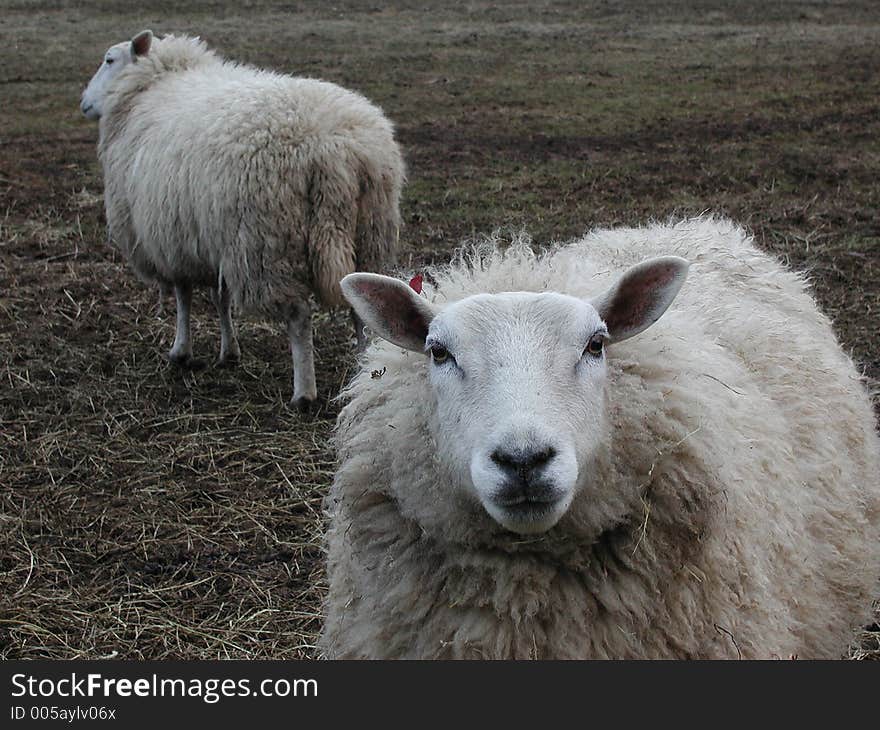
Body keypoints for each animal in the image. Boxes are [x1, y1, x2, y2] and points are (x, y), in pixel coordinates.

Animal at [79, 28, 402, 410]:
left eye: (109, 60)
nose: (84, 102)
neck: (151, 86)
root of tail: (336, 153)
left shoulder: (173, 241)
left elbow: (184, 297)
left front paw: (181, 352)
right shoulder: (209, 239)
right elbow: (220, 298)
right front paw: (228, 351)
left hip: (268, 245)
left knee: (298, 317)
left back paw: (303, 393)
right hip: (369, 235)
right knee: (362, 312)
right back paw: (363, 375)